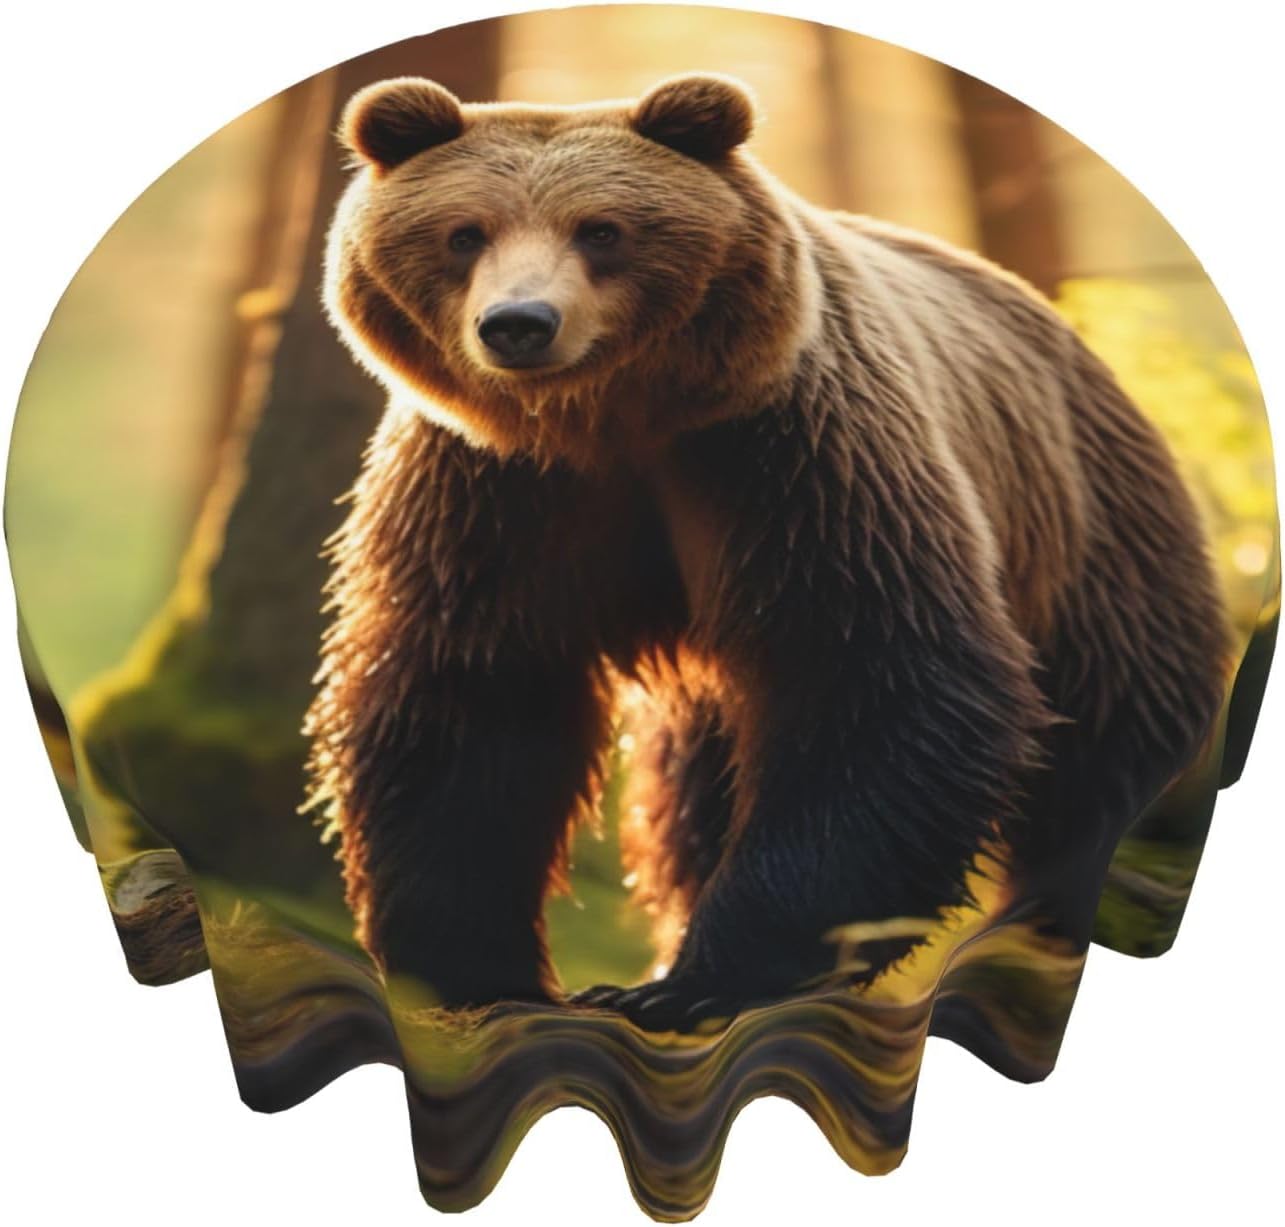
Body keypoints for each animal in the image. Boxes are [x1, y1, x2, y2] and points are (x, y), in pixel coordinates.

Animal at [303, 73, 1230, 1030]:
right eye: (464, 232)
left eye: (601, 229)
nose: (519, 324)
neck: (607, 420)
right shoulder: (495, 498)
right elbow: (469, 695)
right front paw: (476, 968)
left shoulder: (788, 455)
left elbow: (872, 680)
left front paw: (700, 977)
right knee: (692, 791)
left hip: (1087, 536)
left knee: (1106, 753)